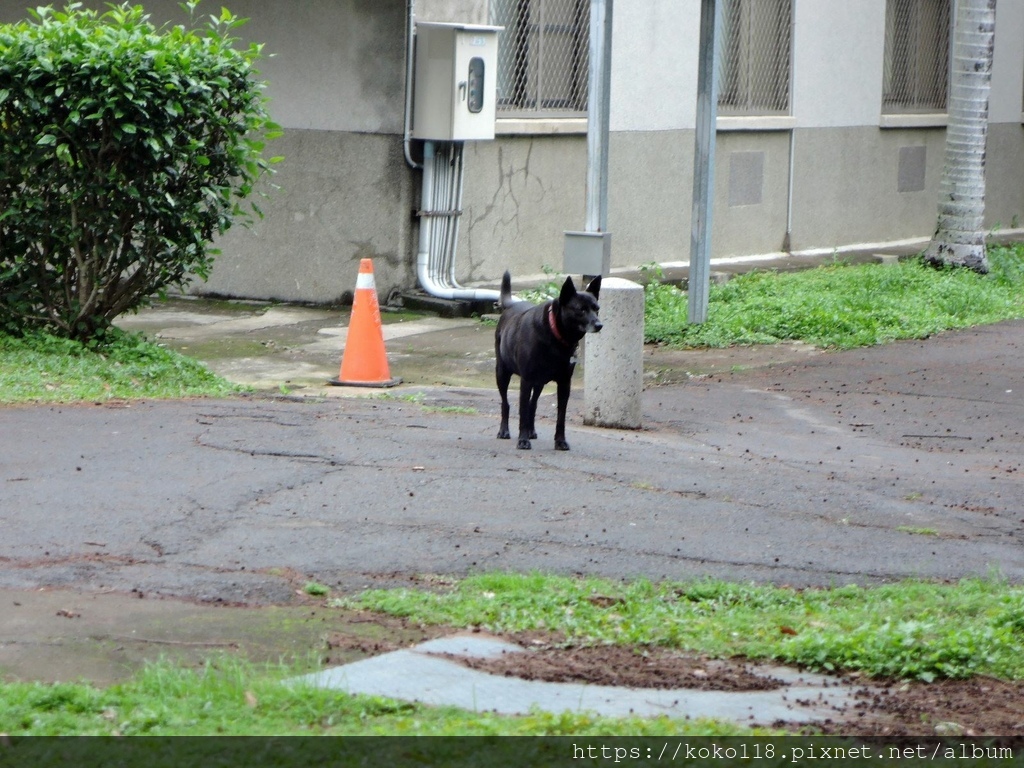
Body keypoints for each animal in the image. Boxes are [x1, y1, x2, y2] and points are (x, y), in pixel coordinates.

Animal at [493, 270, 598, 450]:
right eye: (581, 310)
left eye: (597, 308)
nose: (599, 325)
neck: (556, 336)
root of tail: (511, 305)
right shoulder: (526, 380)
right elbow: (522, 411)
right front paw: (523, 440)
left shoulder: (564, 383)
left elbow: (561, 416)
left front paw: (560, 441)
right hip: (502, 373)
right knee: (506, 403)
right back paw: (504, 431)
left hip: (539, 383)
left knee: (533, 405)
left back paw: (531, 430)